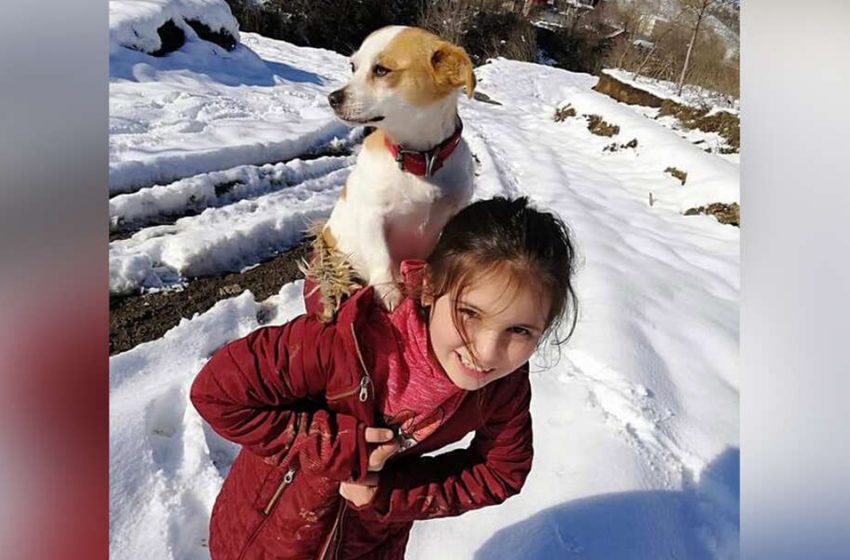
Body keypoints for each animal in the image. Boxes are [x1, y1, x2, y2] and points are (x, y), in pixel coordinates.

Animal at [306, 26, 476, 318]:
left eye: (381, 70)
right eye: (353, 66)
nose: (333, 98)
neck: (421, 160)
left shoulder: (452, 217)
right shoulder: (374, 216)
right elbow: (382, 257)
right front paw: (389, 293)